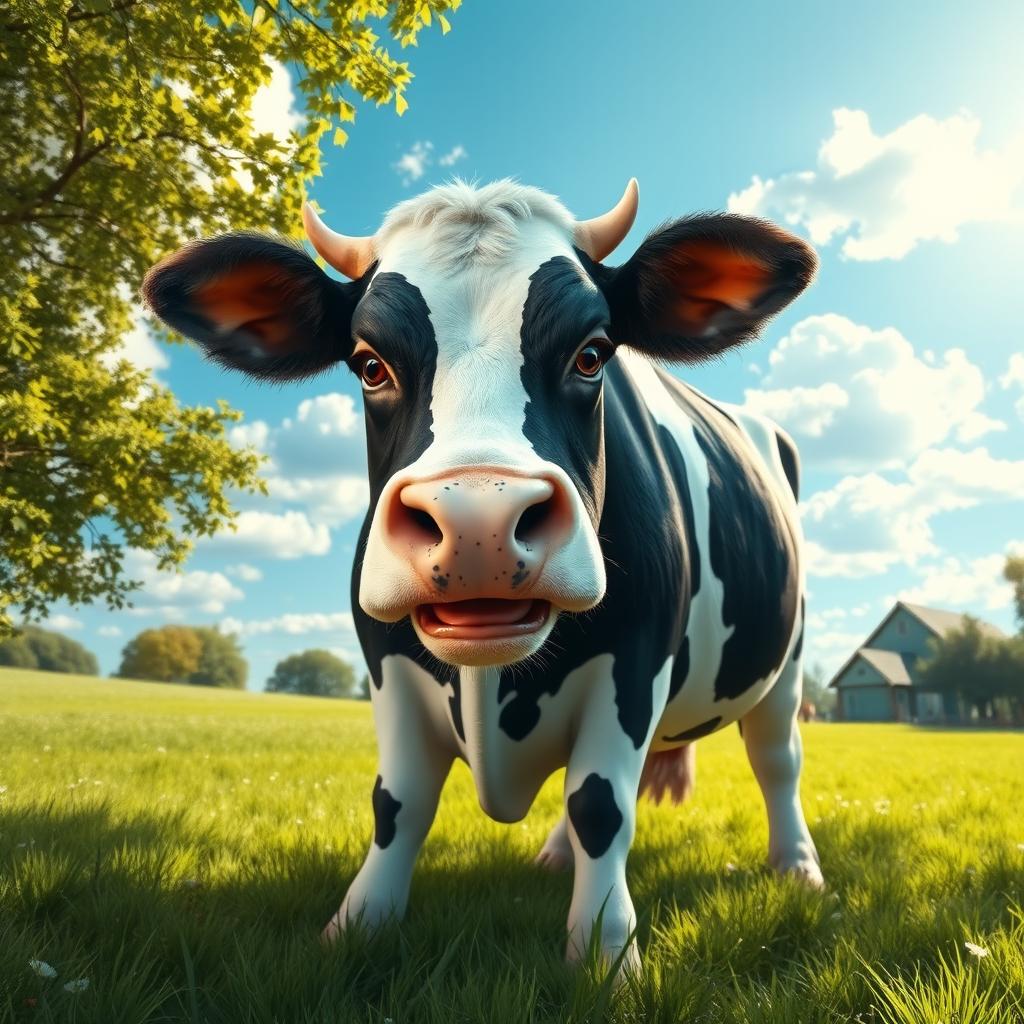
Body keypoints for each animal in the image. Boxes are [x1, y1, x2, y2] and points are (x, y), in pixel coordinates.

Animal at [143, 178, 823, 972]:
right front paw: (359, 925)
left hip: (787, 662)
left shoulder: (636, 663)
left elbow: (601, 805)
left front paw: (605, 954)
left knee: (777, 760)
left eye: (592, 354)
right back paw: (556, 857)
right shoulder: (386, 663)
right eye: (369, 363)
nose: (478, 524)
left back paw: (798, 868)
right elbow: (397, 802)